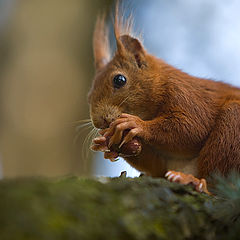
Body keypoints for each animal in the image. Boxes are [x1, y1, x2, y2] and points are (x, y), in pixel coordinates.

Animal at [88, 2, 240, 194]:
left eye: (119, 80)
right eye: (89, 95)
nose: (99, 122)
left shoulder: (187, 95)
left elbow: (191, 127)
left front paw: (137, 124)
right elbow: (156, 166)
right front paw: (107, 143)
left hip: (233, 125)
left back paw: (195, 181)